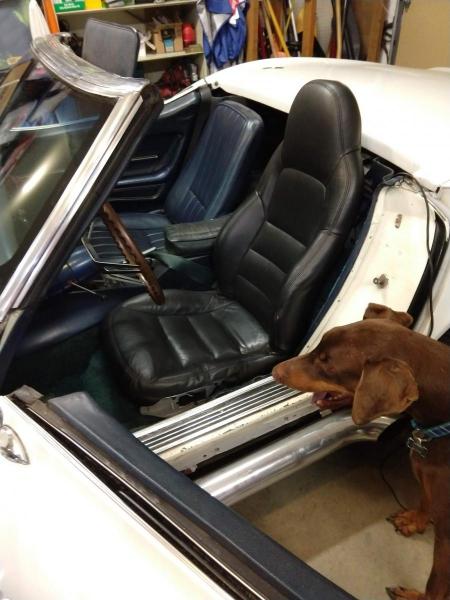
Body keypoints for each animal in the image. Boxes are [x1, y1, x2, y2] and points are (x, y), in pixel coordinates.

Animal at [272, 304, 448, 600]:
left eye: (327, 363)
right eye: (317, 348)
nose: (275, 370)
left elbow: (435, 585)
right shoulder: (427, 476)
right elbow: (425, 500)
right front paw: (414, 521)